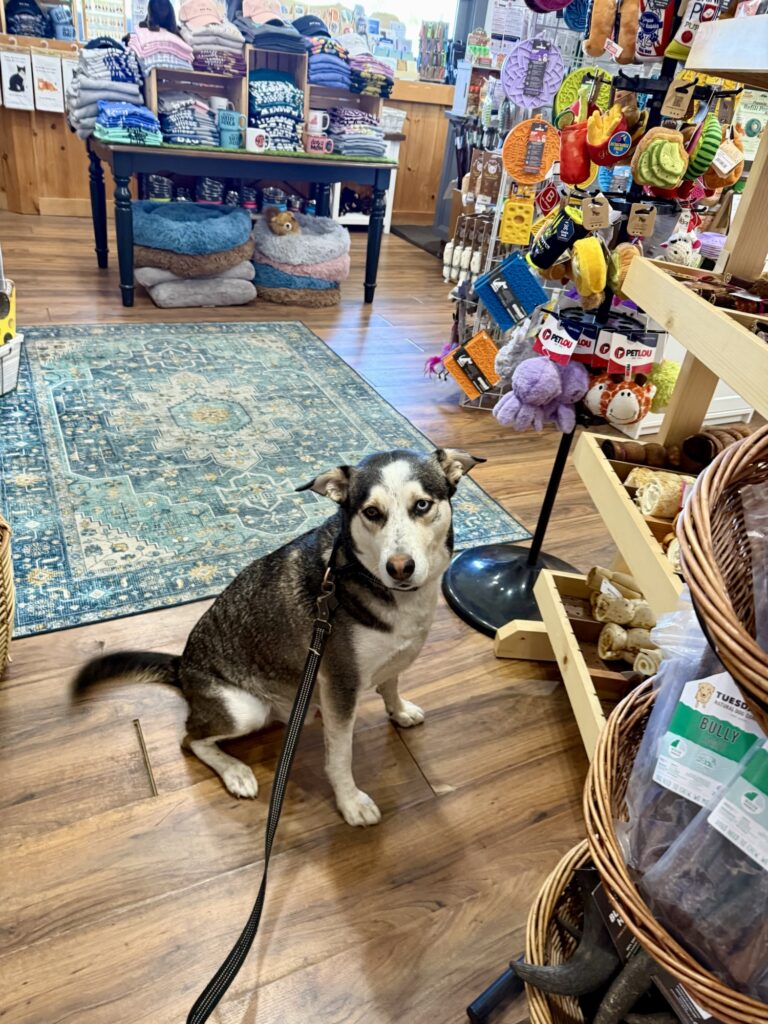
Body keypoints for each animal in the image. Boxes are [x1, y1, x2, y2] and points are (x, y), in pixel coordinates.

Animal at [74, 448, 483, 826]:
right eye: (371, 512)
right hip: (244, 710)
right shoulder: (341, 683)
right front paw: (350, 802)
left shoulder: (392, 657)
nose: (400, 568)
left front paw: (399, 712)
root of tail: (182, 666)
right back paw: (235, 772)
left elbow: (391, 684)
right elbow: (340, 757)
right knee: (190, 740)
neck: (362, 573)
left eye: (422, 505)